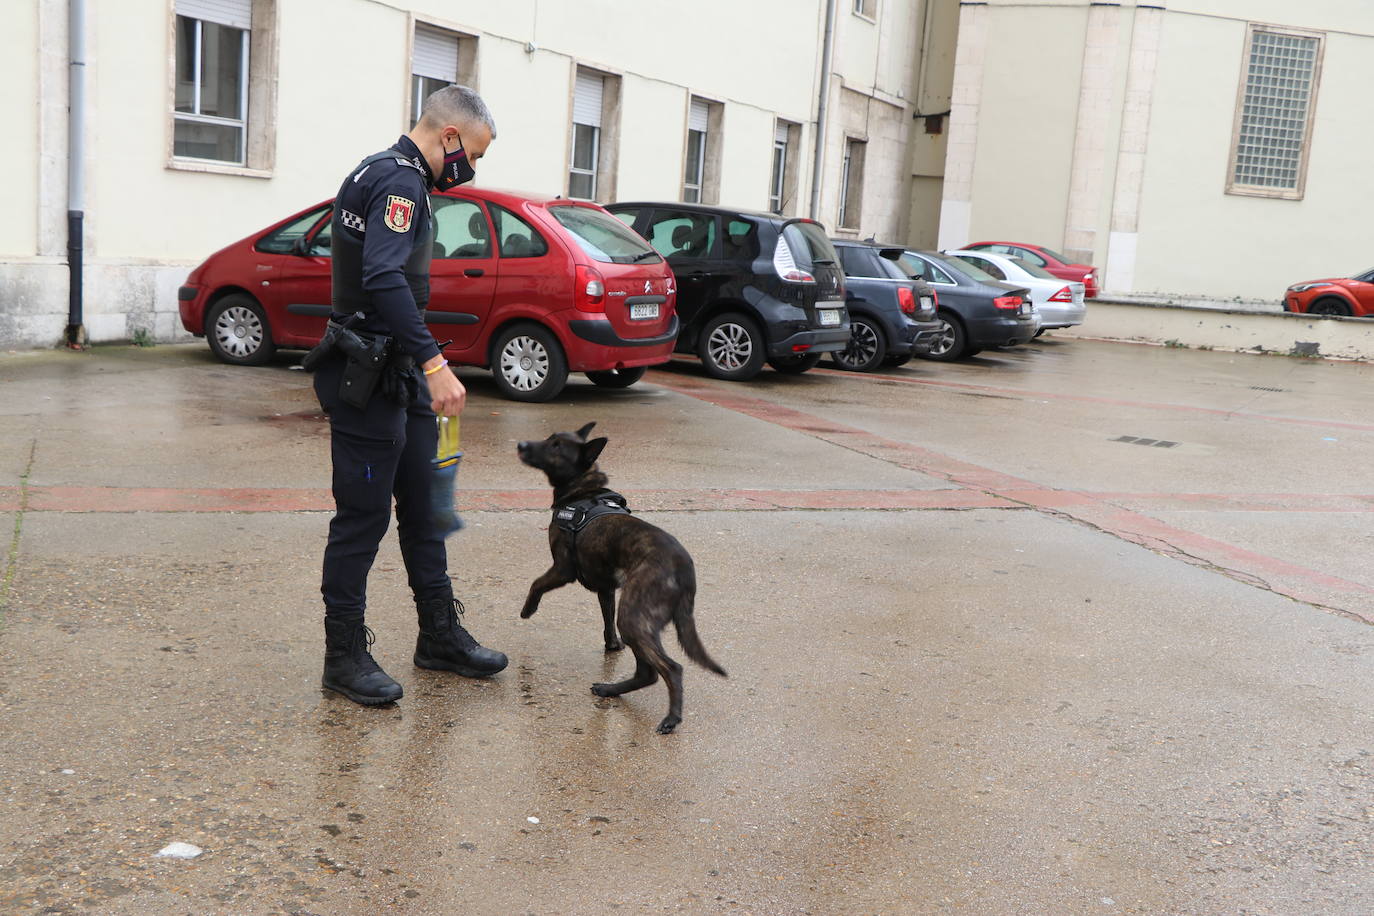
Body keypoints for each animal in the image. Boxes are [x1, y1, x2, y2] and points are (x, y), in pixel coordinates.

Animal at [516, 425, 730, 736]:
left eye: (556, 446)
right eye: (548, 438)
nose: (520, 444)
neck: (583, 490)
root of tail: (684, 570)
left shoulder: (563, 569)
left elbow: (536, 583)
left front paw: (528, 609)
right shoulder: (606, 588)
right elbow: (607, 622)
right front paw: (612, 646)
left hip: (633, 617)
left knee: (669, 669)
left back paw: (671, 717)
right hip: (634, 620)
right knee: (646, 672)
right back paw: (610, 690)